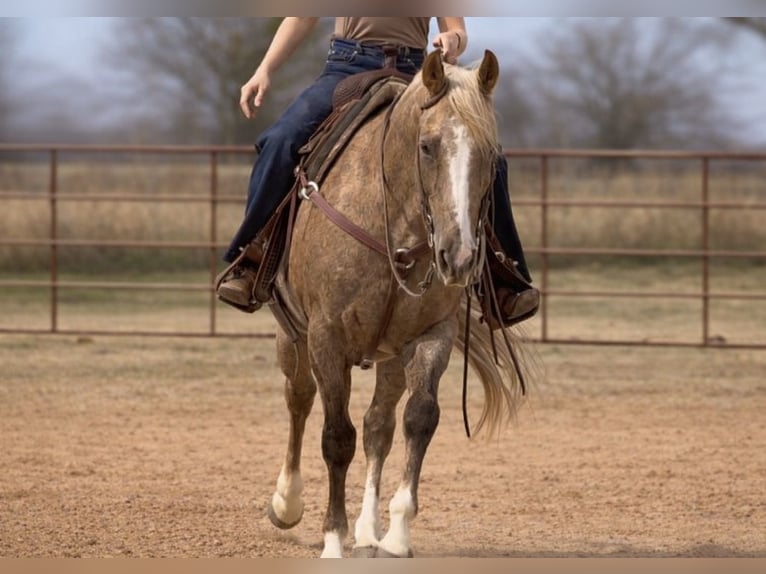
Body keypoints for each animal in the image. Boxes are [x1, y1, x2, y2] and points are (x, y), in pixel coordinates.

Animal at [266, 49, 526, 558]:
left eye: (491, 154)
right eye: (426, 146)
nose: (459, 255)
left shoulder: (432, 335)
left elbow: (418, 419)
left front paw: (396, 535)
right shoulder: (326, 338)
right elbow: (336, 437)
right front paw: (333, 541)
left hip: (388, 354)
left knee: (378, 425)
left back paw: (368, 529)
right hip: (293, 336)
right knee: (299, 400)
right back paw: (287, 503)